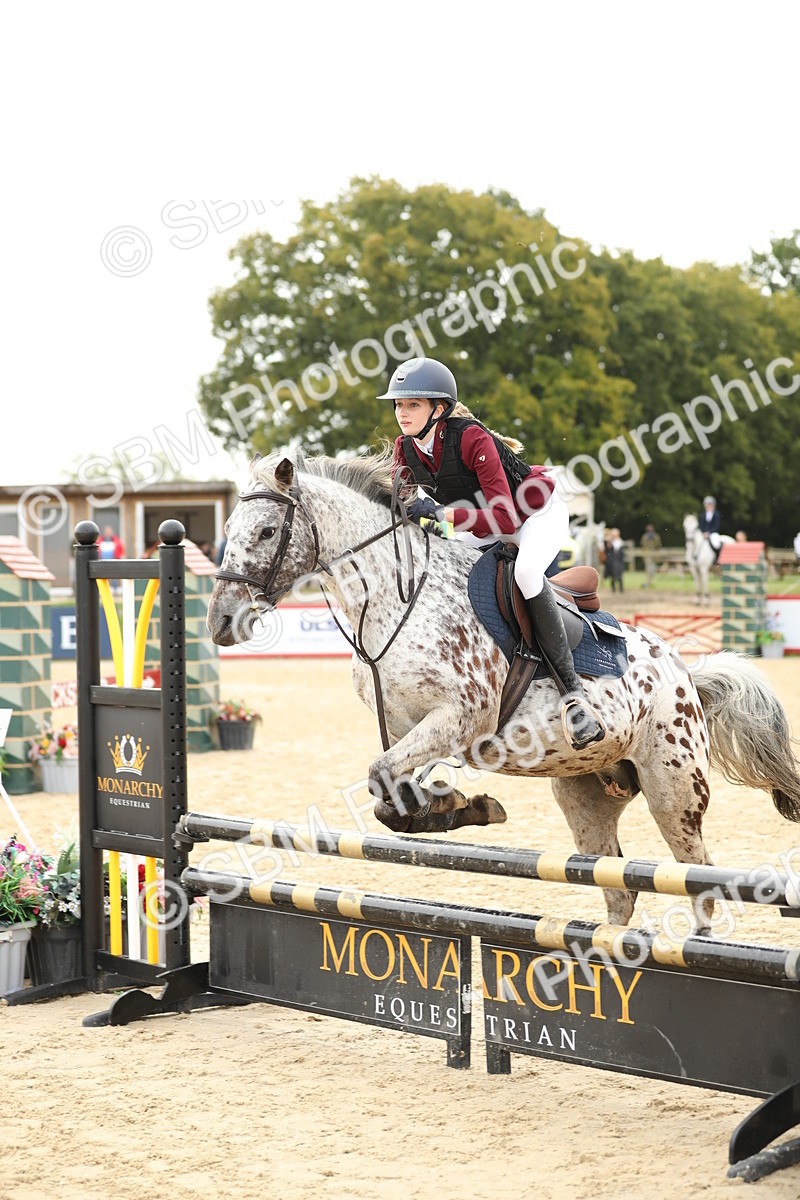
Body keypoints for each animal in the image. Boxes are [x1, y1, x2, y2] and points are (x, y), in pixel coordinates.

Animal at [207, 451, 800, 928]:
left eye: (265, 532)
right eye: (229, 527)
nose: (221, 623)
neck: (396, 599)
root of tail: (687, 679)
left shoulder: (461, 716)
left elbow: (383, 777)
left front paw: (460, 805)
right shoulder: (407, 725)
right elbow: (388, 793)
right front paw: (456, 806)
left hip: (673, 788)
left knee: (699, 883)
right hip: (585, 794)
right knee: (618, 891)